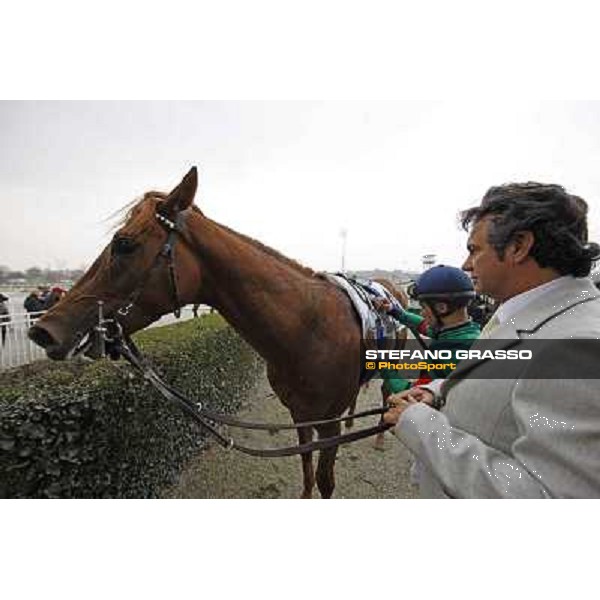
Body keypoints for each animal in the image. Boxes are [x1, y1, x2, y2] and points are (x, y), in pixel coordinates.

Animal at [31, 168, 408, 496]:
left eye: (124, 244)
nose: (44, 330)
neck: (308, 328)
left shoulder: (326, 423)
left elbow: (325, 480)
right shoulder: (300, 416)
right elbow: (305, 470)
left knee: (388, 392)